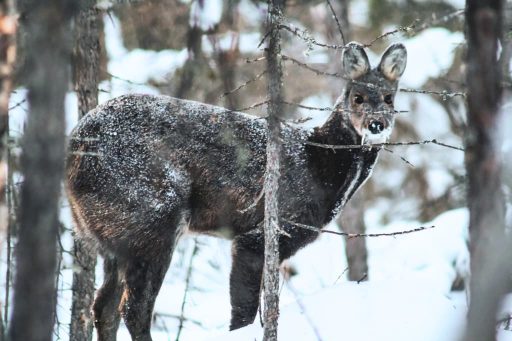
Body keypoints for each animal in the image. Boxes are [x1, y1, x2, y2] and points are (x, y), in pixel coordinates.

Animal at [66, 42, 406, 340]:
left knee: (104, 307)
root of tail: (75, 148)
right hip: (151, 215)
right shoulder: (265, 232)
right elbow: (243, 312)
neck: (318, 163)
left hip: (113, 234)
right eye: (357, 97)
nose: (376, 124)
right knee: (133, 309)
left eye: (389, 98)